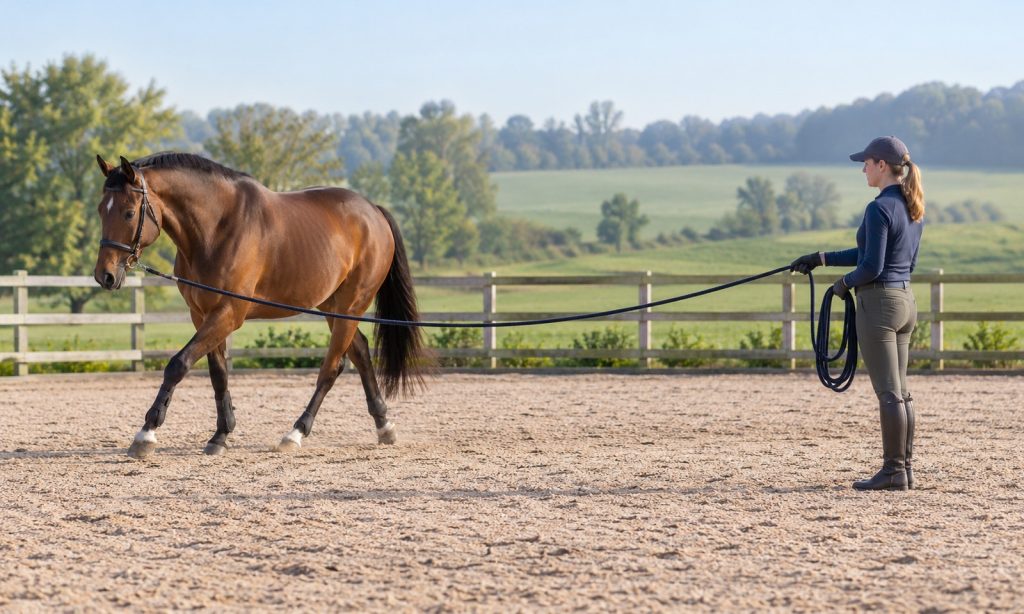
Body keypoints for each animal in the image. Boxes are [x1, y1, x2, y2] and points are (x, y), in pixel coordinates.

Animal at [92, 153, 428, 459]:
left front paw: (146, 433)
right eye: (100, 210)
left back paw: (295, 433)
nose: (104, 276)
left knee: (332, 366)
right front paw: (221, 434)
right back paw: (383, 425)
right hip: (333, 307)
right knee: (359, 352)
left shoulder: (229, 313)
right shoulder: (202, 314)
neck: (216, 227)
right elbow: (218, 374)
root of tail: (373, 212)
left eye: (129, 212)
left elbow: (178, 364)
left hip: (351, 305)